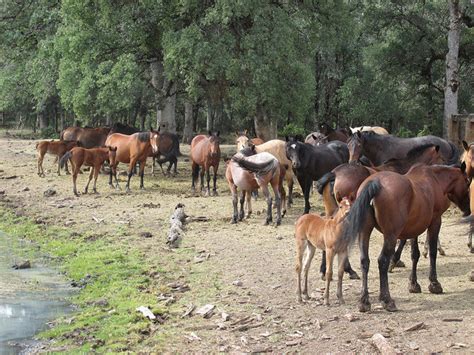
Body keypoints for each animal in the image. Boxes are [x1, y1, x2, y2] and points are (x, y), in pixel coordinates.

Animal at [340, 164, 470, 312]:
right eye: (467, 181)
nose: (468, 208)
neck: (435, 179)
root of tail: (374, 183)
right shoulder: (435, 222)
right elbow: (432, 252)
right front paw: (434, 283)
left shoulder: (415, 227)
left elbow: (415, 255)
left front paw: (413, 284)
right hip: (390, 235)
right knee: (382, 261)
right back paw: (387, 300)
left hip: (365, 231)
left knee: (364, 261)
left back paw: (364, 301)